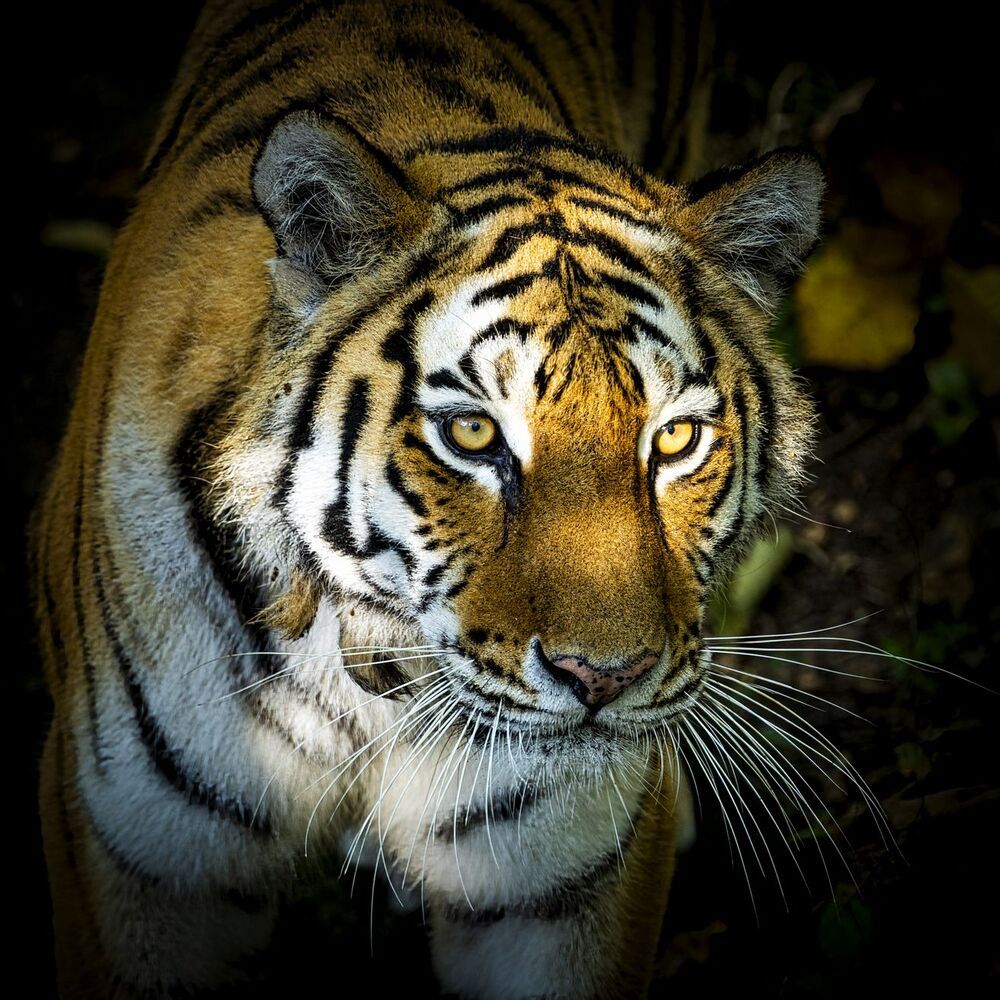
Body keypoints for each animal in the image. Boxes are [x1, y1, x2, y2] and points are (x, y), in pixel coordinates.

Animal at [32, 0, 824, 996]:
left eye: (675, 440)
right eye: (475, 435)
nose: (605, 678)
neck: (372, 685)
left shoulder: (559, 887)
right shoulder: (137, 858)